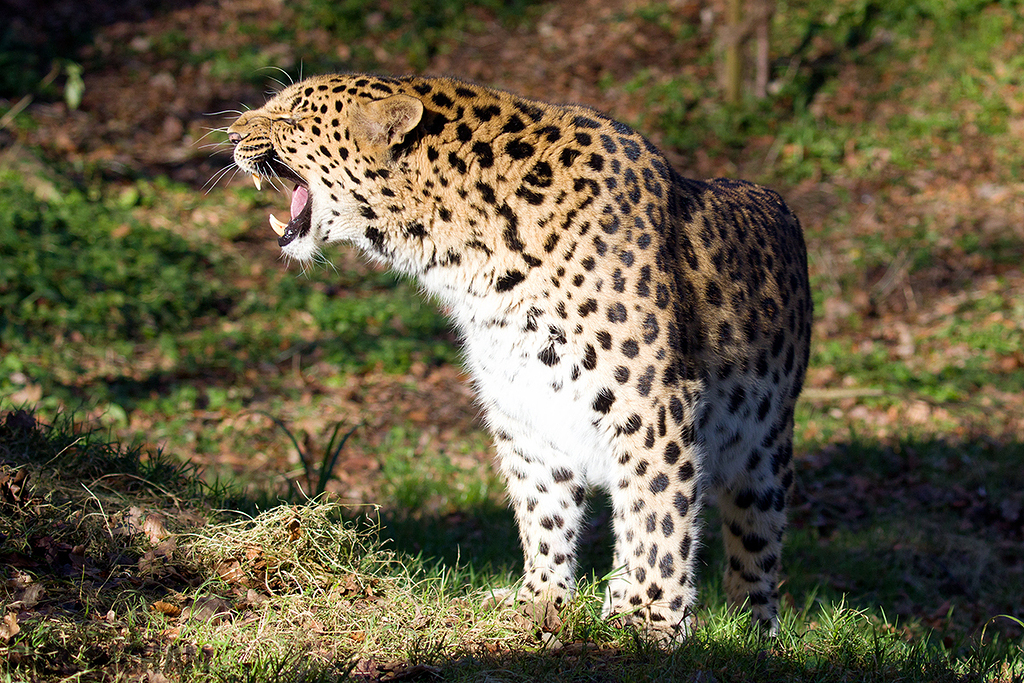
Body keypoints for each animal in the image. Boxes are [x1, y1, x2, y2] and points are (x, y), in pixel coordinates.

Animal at [228, 73, 811, 643]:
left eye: (290, 116)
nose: (231, 134)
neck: (474, 262)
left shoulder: (652, 406)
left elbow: (656, 518)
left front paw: (649, 620)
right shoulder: (526, 407)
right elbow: (544, 510)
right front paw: (541, 600)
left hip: (763, 451)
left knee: (754, 547)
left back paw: (753, 633)